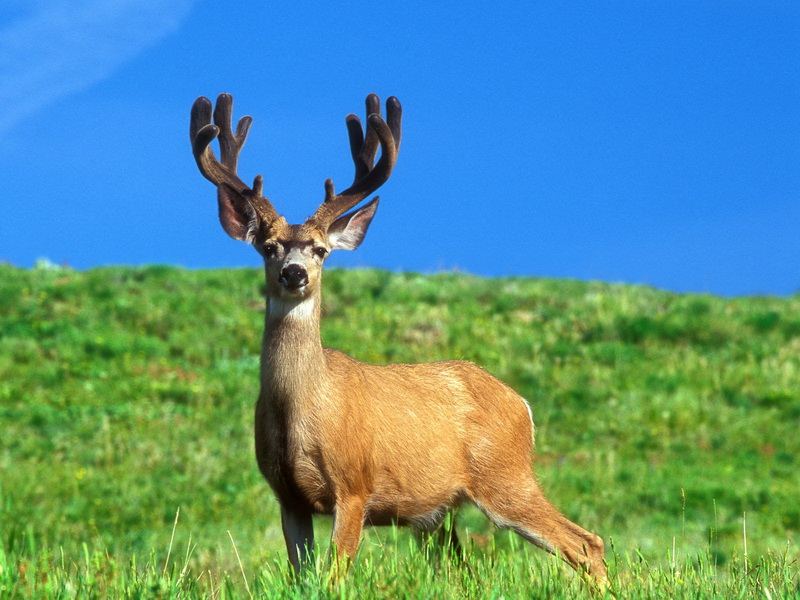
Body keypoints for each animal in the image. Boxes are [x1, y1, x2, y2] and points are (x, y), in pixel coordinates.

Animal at [189, 91, 608, 584]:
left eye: (320, 250)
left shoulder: (354, 485)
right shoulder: (287, 495)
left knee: (585, 543)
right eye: (268, 247)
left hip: (505, 476)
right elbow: (302, 575)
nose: (294, 273)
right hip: (438, 513)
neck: (301, 408)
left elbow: (334, 576)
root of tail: (521, 403)